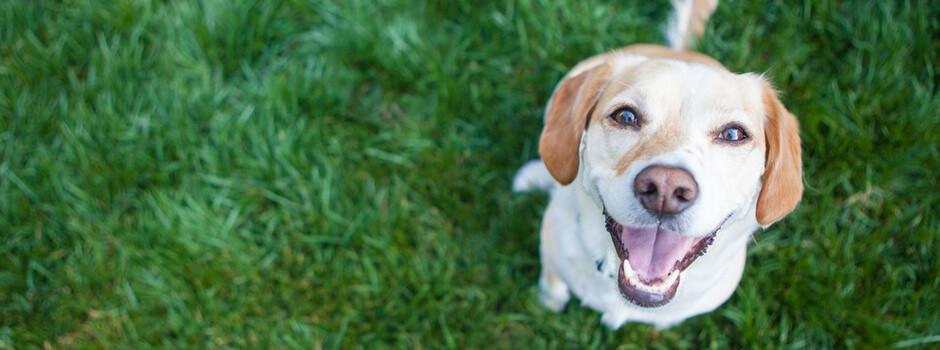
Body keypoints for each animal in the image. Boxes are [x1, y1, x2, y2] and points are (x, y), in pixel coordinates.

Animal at [510, 0, 804, 328]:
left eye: (733, 134)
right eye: (625, 116)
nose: (665, 188)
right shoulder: (552, 254)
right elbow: (552, 285)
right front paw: (547, 303)